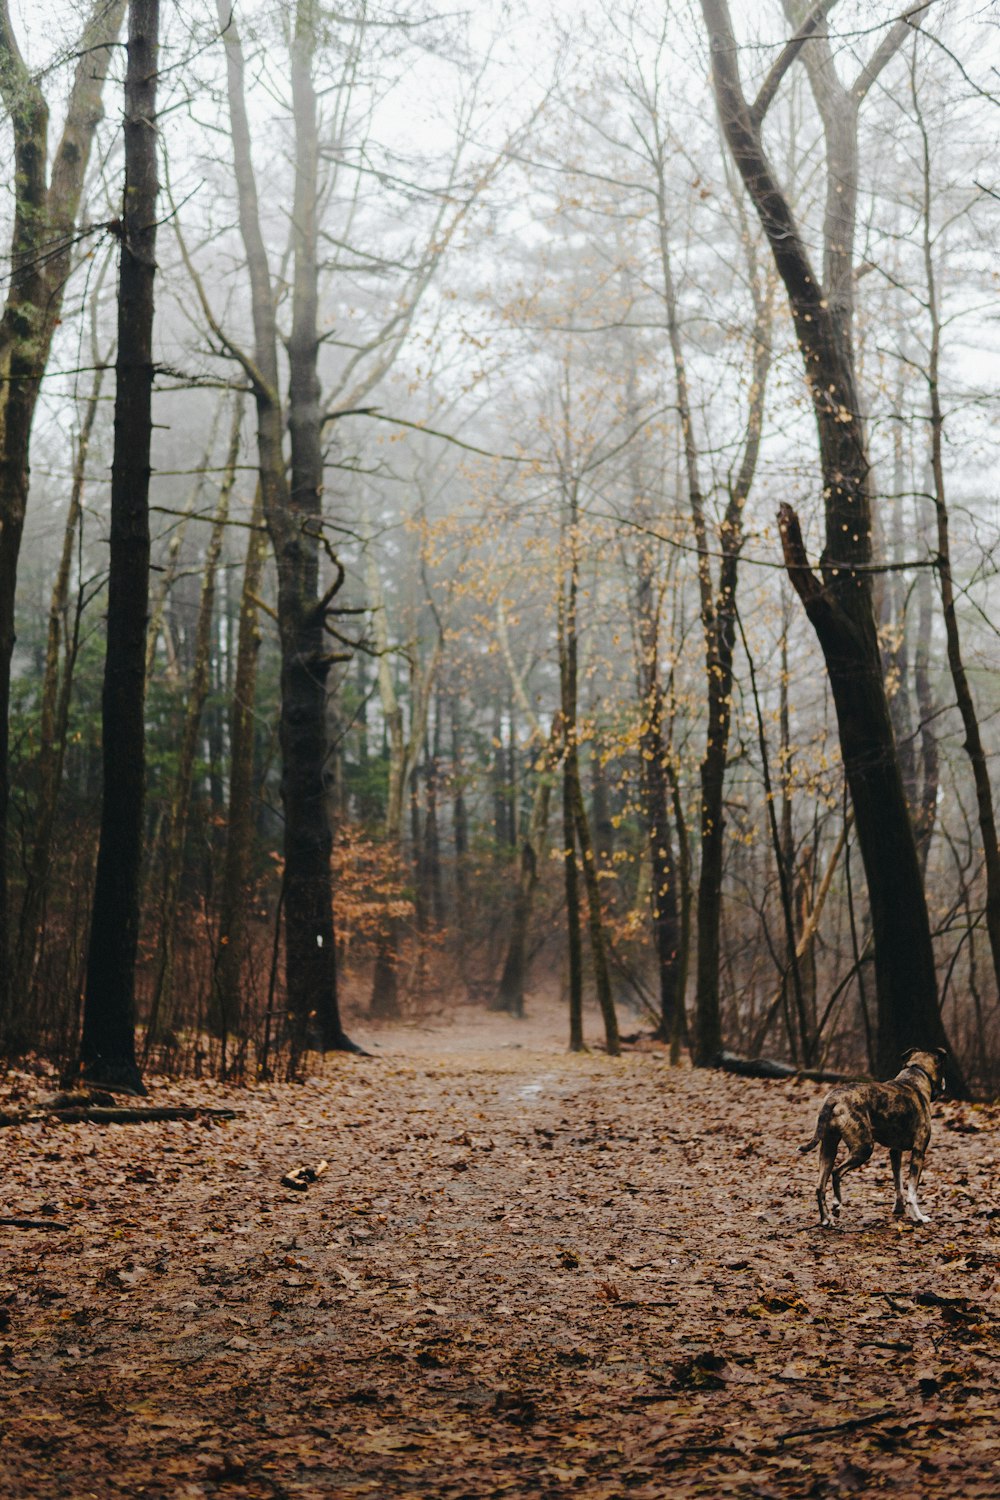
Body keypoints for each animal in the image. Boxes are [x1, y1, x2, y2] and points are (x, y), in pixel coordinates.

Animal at [797, 1050, 947, 1224]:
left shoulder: (895, 1152)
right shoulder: (918, 1152)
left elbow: (898, 1184)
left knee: (820, 1186)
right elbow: (912, 1192)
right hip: (864, 1149)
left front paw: (899, 1208)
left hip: (828, 1149)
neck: (914, 1077)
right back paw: (836, 1204)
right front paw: (918, 1216)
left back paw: (826, 1218)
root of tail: (834, 1098)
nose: (945, 1084)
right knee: (836, 1173)